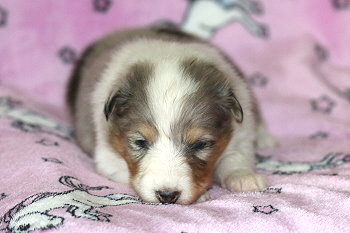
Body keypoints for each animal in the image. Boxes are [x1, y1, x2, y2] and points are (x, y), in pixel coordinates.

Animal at [65, 26, 274, 204]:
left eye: (200, 144)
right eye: (140, 142)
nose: (167, 195)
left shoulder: (241, 133)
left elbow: (235, 157)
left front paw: (245, 178)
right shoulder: (107, 156)